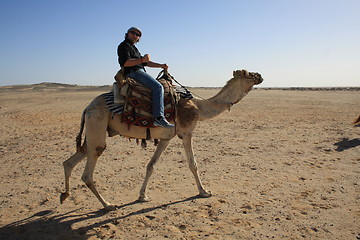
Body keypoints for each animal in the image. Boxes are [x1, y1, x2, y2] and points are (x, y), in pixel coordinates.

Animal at [60, 69, 262, 210]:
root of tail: (88, 107)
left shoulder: (166, 138)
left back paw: (65, 195)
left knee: (70, 161)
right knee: (89, 170)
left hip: (93, 132)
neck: (199, 106)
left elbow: (151, 165)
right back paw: (108, 205)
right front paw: (204, 192)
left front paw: (142, 196)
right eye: (248, 73)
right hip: (97, 123)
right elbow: (193, 165)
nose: (260, 75)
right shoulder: (186, 132)